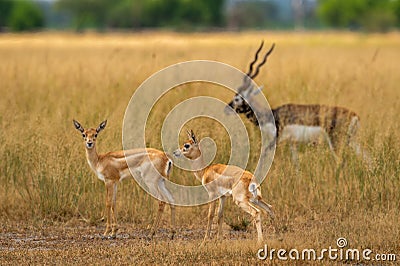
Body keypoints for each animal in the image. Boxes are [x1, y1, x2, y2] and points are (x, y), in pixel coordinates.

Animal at [225, 40, 372, 166]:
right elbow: (296, 165)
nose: (227, 109)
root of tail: (354, 115)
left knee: (342, 162)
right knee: (368, 158)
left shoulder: (276, 140)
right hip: (352, 141)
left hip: (336, 142)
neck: (272, 115)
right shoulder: (293, 143)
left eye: (237, 98)